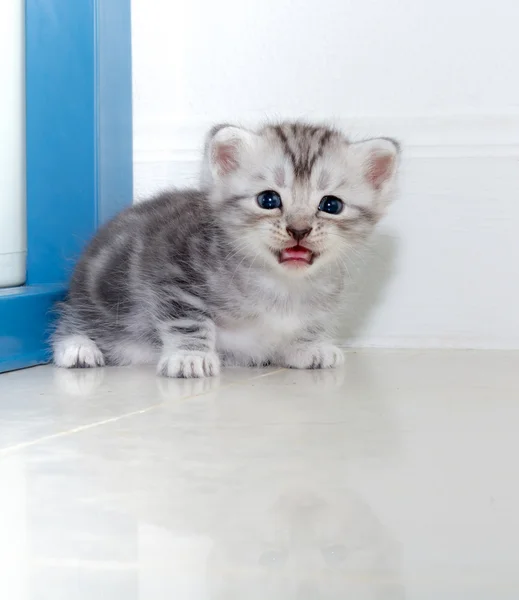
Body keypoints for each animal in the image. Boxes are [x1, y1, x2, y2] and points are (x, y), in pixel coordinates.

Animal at [52, 119, 400, 378]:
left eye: (331, 205)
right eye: (268, 199)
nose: (298, 230)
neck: (281, 285)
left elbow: (312, 322)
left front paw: (307, 347)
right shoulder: (173, 269)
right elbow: (189, 319)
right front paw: (190, 357)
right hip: (98, 293)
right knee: (71, 319)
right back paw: (78, 348)